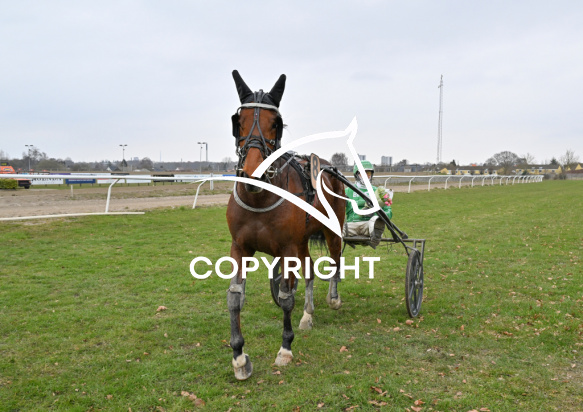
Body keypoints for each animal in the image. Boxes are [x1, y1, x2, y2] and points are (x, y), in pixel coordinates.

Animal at [226, 70, 346, 380]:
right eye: (238, 121)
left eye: (275, 123)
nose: (253, 173)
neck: (259, 197)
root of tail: (326, 165)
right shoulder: (240, 247)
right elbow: (235, 298)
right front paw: (239, 357)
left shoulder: (288, 248)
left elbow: (285, 296)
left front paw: (285, 349)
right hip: (302, 241)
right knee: (311, 270)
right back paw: (307, 314)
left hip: (331, 231)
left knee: (335, 262)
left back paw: (333, 298)